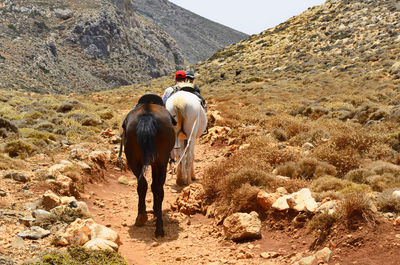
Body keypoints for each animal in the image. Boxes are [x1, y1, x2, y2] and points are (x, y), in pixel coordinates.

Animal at [119, 94, 175, 236]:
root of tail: (147, 114)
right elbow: (155, 186)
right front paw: (154, 210)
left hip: (135, 161)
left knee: (143, 184)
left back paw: (142, 217)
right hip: (160, 162)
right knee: (157, 188)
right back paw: (158, 227)